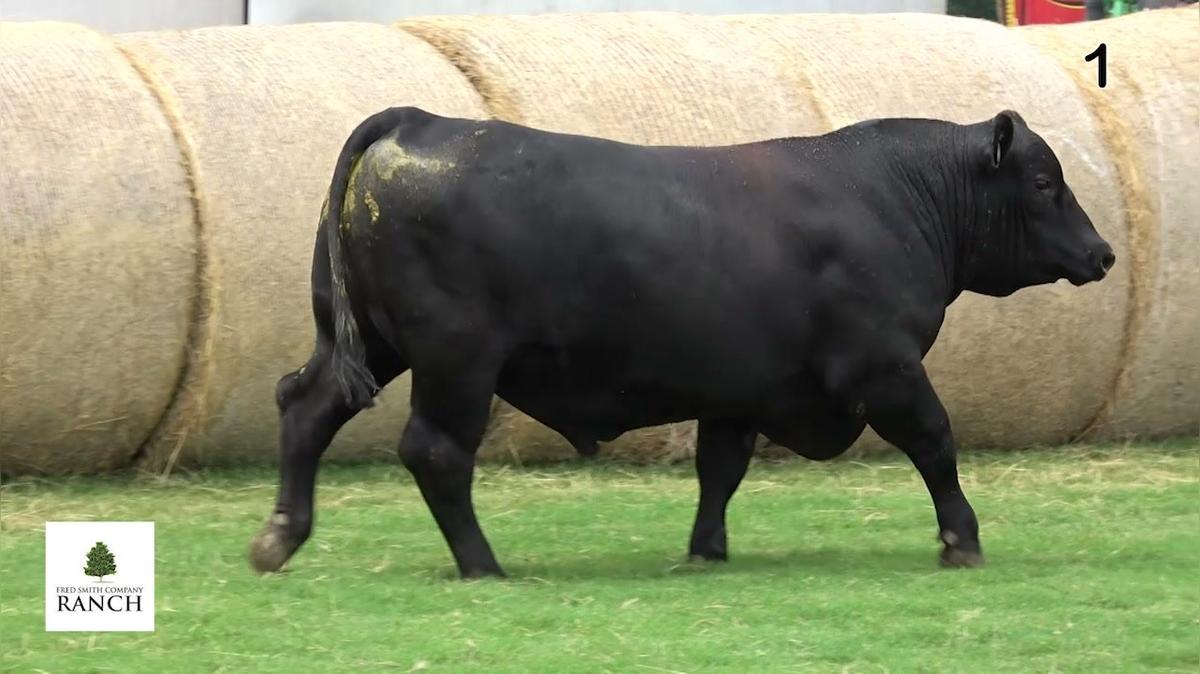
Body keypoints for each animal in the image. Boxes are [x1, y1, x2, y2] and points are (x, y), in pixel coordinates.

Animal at [249, 106, 1114, 579]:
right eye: (1045, 183)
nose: (1103, 252)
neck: (893, 196)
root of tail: (418, 121)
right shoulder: (885, 367)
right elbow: (936, 443)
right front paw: (961, 540)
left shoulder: (741, 387)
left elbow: (719, 470)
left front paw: (706, 550)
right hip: (456, 362)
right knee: (435, 452)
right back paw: (483, 565)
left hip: (372, 344)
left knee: (305, 406)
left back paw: (279, 537)